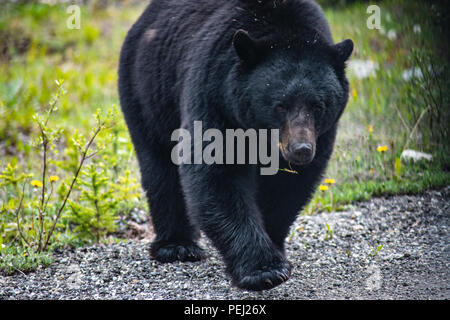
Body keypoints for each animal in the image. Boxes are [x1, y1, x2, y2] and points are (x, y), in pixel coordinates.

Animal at [118, 0, 352, 290]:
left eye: (318, 106)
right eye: (280, 105)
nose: (301, 150)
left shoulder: (322, 133)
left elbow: (288, 187)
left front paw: (274, 247)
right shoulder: (214, 92)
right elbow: (215, 172)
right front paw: (263, 269)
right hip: (148, 92)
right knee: (160, 169)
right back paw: (177, 246)